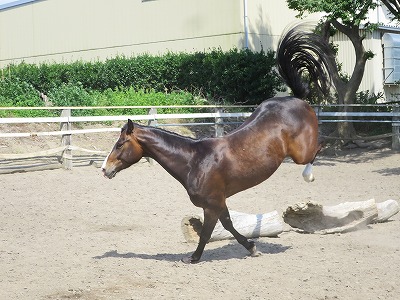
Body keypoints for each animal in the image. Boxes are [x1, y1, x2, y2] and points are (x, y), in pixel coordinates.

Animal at [101, 24, 332, 262]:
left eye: (120, 144)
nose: (104, 169)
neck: (193, 161)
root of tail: (295, 99)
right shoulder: (219, 203)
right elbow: (228, 225)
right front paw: (252, 248)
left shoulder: (212, 205)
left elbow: (207, 232)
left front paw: (192, 258)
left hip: (300, 154)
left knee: (320, 146)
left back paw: (309, 175)